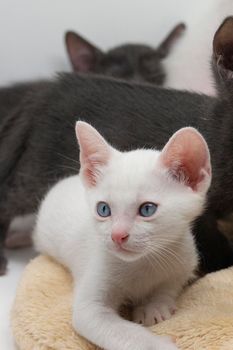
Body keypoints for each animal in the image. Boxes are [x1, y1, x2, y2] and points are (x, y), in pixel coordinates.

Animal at [34, 121, 211, 350]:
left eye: (147, 209)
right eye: (103, 209)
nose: (117, 235)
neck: (144, 262)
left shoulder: (184, 260)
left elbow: (170, 284)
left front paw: (156, 306)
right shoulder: (90, 307)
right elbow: (122, 332)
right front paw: (158, 344)